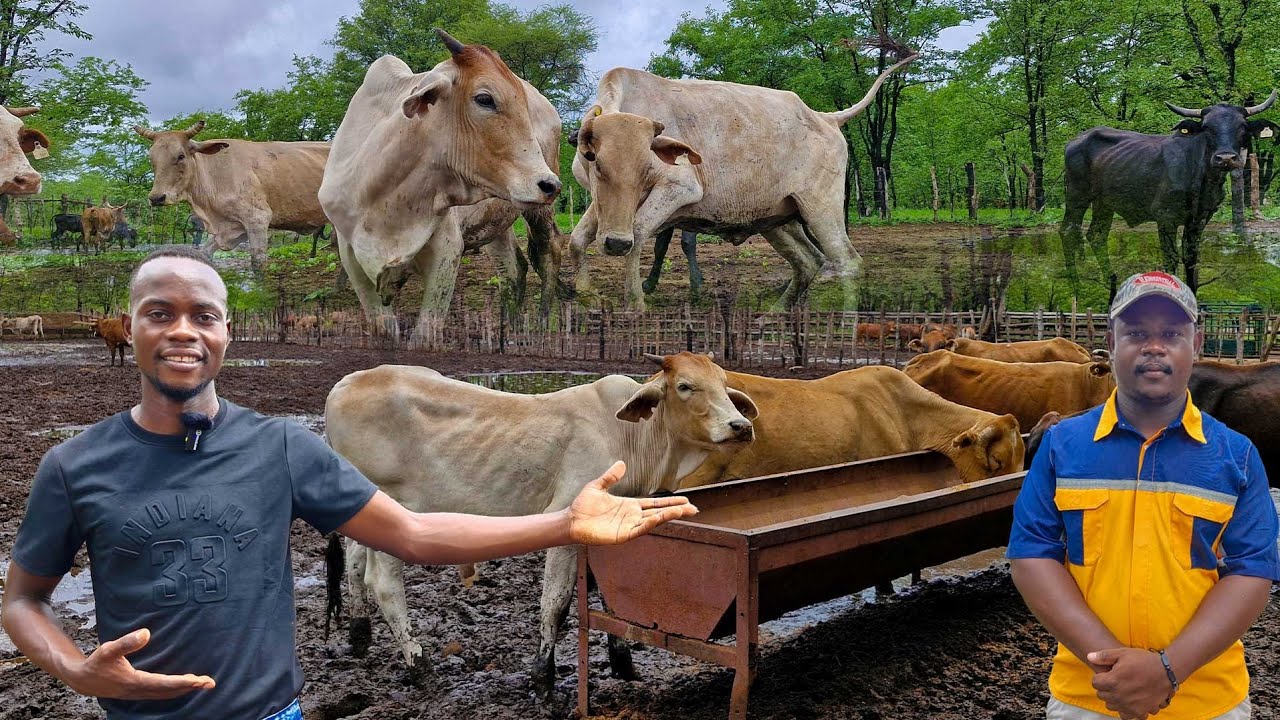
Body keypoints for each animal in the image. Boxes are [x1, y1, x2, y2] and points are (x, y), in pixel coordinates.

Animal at [133, 120, 330, 272]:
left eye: (180, 156)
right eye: (152, 158)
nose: (156, 198)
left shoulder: (257, 220)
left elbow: (258, 264)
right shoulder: (228, 229)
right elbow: (204, 254)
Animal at [319, 31, 562, 340]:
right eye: (484, 99)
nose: (550, 185)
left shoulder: (447, 252)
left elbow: (425, 334)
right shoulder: (352, 257)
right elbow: (384, 328)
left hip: (537, 209)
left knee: (547, 254)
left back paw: (542, 324)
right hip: (497, 219)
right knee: (512, 269)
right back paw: (509, 329)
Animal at [324, 352, 757, 694]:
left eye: (723, 385)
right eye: (685, 386)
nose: (741, 426)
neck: (631, 437)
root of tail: (342, 386)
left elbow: (610, 599)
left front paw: (624, 665)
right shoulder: (567, 523)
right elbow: (557, 603)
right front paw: (542, 678)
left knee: (355, 564)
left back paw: (360, 637)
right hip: (396, 511)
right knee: (382, 583)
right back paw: (420, 666)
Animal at [567, 55, 915, 311]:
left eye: (644, 167)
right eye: (594, 160)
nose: (615, 244)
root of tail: (825, 118)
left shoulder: (679, 189)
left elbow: (639, 233)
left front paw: (636, 302)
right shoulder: (601, 205)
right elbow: (578, 238)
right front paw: (586, 294)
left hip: (821, 208)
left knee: (848, 262)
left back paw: (844, 325)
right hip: (777, 220)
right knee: (808, 261)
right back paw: (775, 314)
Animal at [1061, 90, 1278, 294]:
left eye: (1242, 126)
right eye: (1207, 127)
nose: (1225, 158)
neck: (1201, 179)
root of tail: (1076, 140)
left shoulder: (1199, 219)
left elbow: (1190, 258)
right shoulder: (1165, 217)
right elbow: (1170, 258)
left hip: (1103, 202)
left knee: (1097, 235)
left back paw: (1110, 280)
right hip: (1076, 195)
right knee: (1068, 231)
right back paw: (1075, 287)